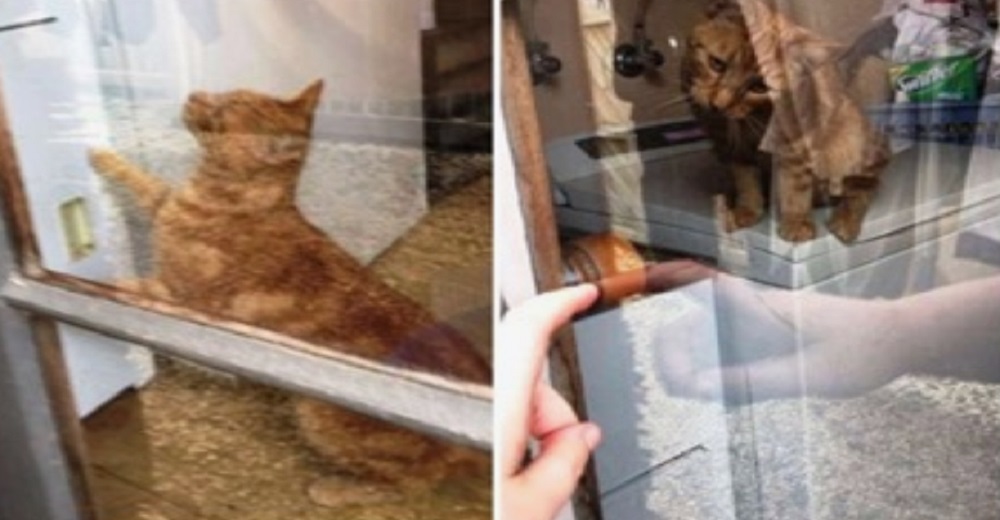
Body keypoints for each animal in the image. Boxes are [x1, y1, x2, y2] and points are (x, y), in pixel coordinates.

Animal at [89, 80, 488, 508]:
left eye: (223, 109)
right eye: (224, 93)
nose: (195, 94)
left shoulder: (182, 299)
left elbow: (122, 286)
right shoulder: (166, 208)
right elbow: (147, 184)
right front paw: (101, 154)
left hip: (316, 412)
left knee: (411, 482)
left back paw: (336, 488)